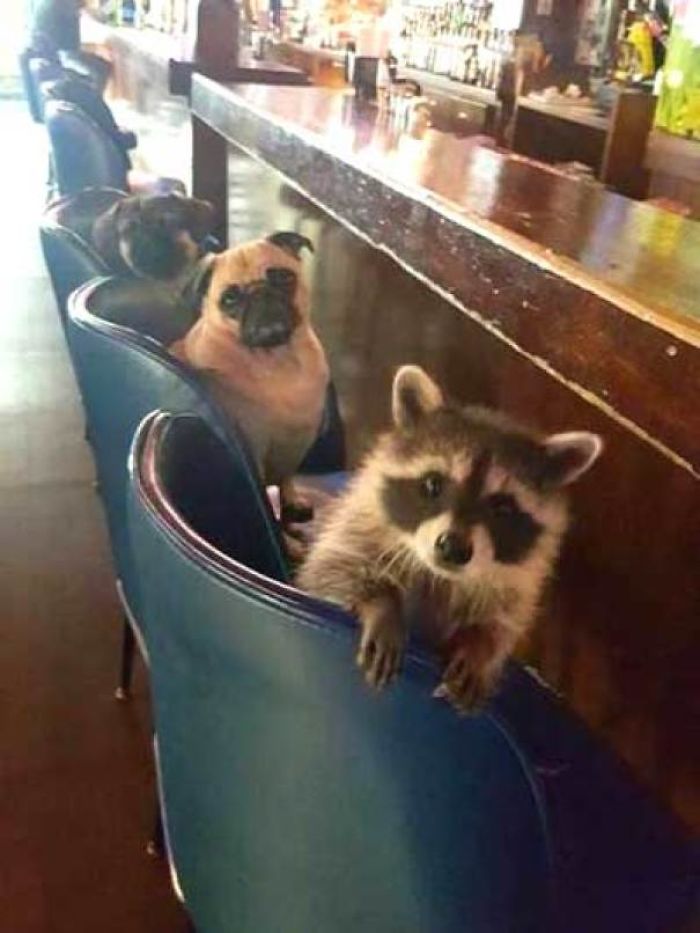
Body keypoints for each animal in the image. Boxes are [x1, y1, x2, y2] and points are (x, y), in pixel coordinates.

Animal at [297, 365, 603, 712]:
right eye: (433, 484)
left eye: (502, 507)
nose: (454, 548)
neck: (439, 576)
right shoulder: (357, 527)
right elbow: (330, 569)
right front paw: (380, 601)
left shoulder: (516, 579)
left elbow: (504, 621)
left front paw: (481, 644)